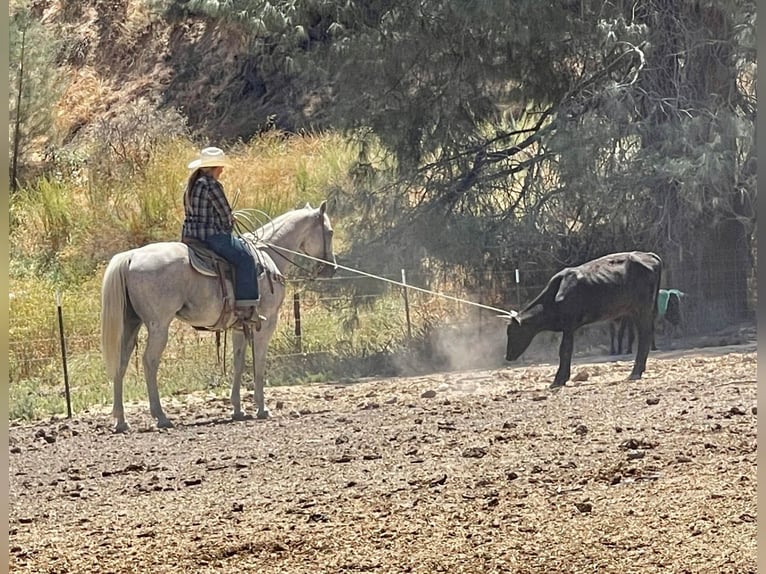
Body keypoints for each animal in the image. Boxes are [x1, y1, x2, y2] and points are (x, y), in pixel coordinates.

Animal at [100, 202, 338, 432]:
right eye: (330, 232)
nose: (332, 268)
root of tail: (131, 257)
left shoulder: (239, 326)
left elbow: (238, 362)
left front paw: (238, 409)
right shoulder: (268, 322)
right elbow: (259, 362)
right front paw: (262, 408)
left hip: (131, 323)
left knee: (121, 362)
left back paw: (121, 421)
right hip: (159, 326)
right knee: (150, 362)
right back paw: (161, 417)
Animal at [508, 251, 664, 390]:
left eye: (513, 333)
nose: (508, 357)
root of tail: (649, 255)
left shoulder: (569, 325)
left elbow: (565, 350)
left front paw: (559, 380)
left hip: (642, 308)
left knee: (645, 334)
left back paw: (635, 373)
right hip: (635, 310)